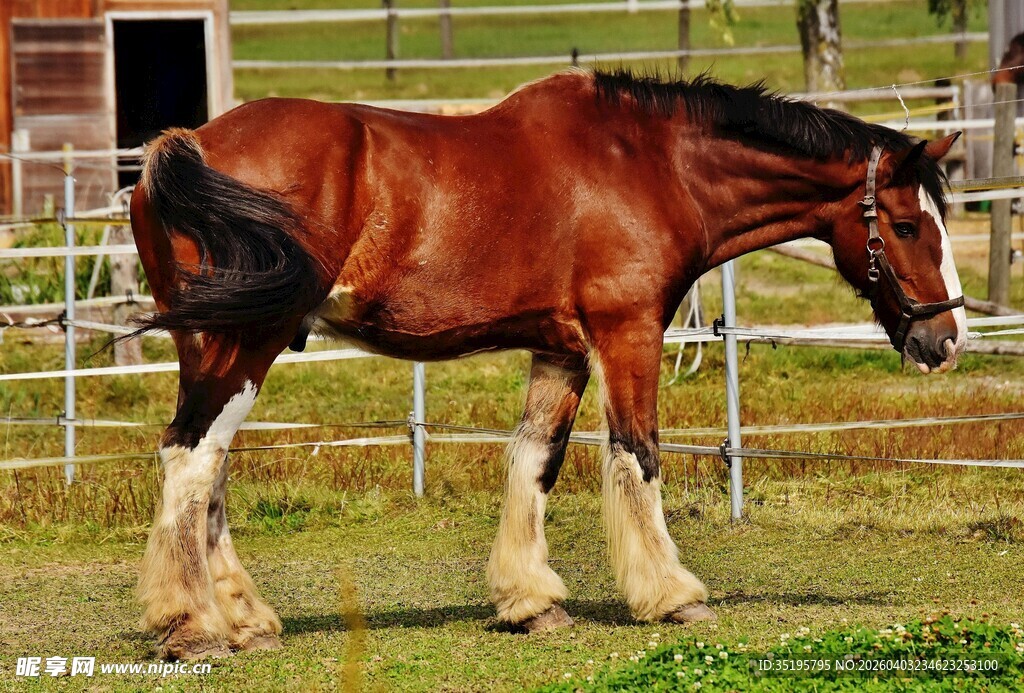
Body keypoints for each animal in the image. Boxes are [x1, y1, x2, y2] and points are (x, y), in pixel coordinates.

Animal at [128, 68, 966, 660]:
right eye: (904, 225)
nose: (948, 335)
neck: (651, 162)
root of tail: (186, 146)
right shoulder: (627, 333)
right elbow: (638, 454)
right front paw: (672, 594)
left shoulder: (560, 349)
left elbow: (535, 460)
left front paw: (530, 600)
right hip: (249, 341)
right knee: (192, 457)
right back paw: (193, 623)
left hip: (214, 343)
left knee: (208, 468)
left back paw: (244, 618)